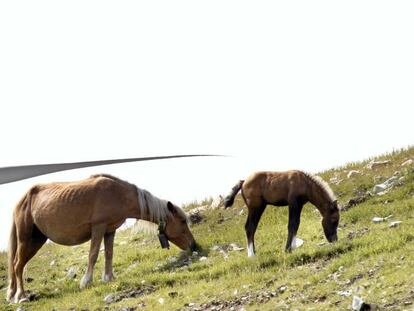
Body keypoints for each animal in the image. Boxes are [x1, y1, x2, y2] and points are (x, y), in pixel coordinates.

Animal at [6, 176, 196, 304]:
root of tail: (21, 201)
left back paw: (13, 294)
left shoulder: (109, 231)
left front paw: (108, 277)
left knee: (18, 265)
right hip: (25, 239)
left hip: (36, 240)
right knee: (17, 265)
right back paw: (20, 296)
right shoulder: (98, 227)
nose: (194, 246)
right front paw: (86, 282)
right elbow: (93, 254)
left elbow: (109, 254)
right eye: (182, 221)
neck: (117, 194)